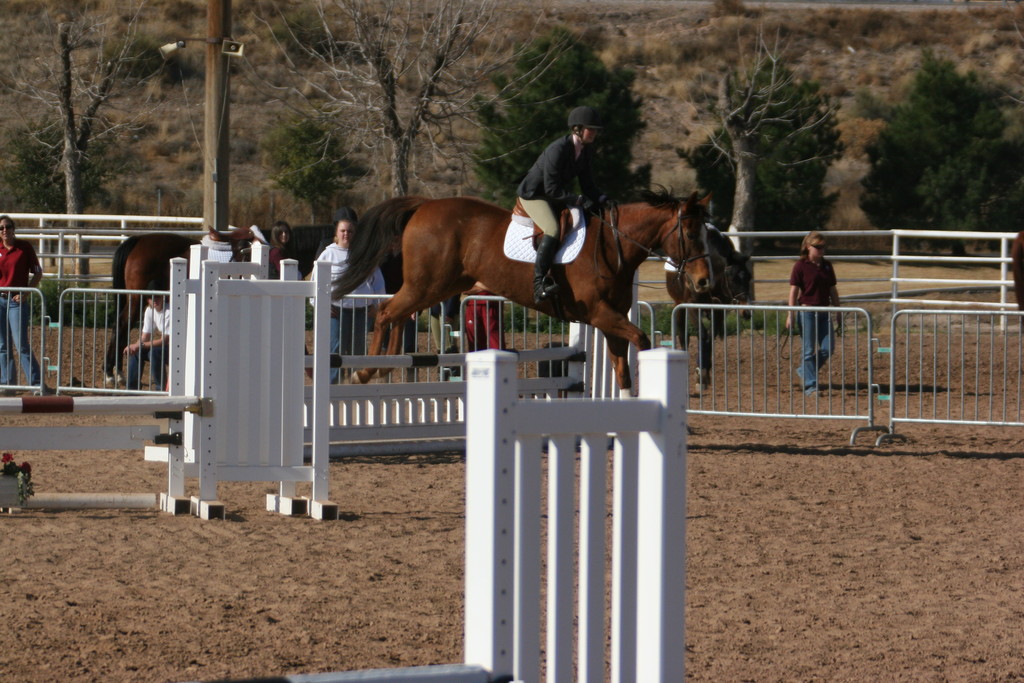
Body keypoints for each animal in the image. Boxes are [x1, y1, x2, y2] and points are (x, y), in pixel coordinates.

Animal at [335, 189, 712, 393]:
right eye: (692, 233)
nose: (705, 282)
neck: (611, 244)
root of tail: (424, 205)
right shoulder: (600, 314)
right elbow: (642, 340)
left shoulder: (610, 321)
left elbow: (622, 368)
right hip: (427, 283)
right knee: (385, 312)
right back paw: (363, 371)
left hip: (440, 286)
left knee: (397, 314)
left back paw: (383, 366)